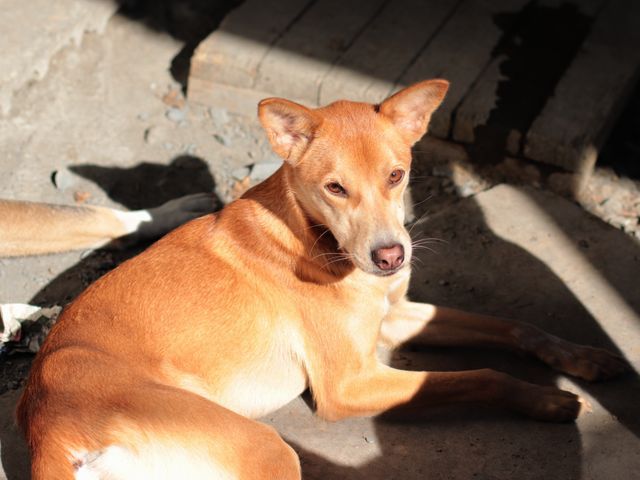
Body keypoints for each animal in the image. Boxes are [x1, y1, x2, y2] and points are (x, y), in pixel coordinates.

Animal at [17, 79, 629, 479]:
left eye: (396, 176)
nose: (391, 257)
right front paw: (545, 400)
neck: (314, 236)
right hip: (265, 450)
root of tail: (48, 430)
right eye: (335, 188)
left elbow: (512, 327)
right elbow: (481, 375)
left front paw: (582, 357)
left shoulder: (394, 316)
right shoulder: (348, 385)